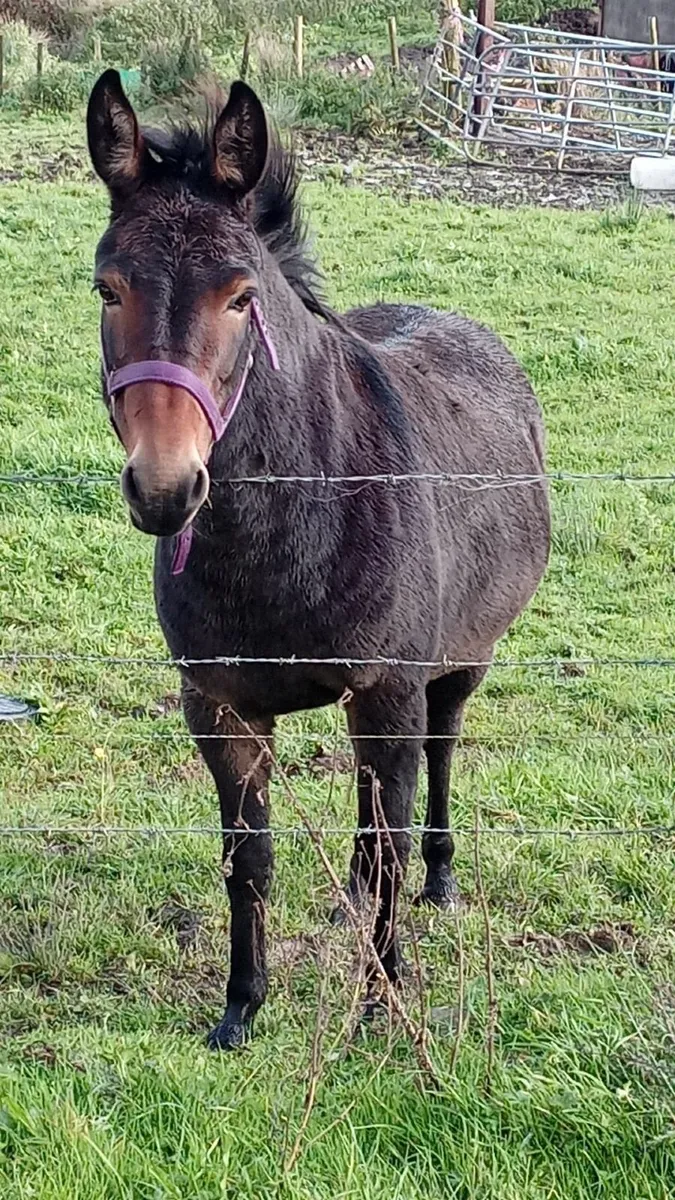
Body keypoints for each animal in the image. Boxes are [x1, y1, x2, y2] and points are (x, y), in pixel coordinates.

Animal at [86, 70, 550, 1050]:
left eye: (239, 296)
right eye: (107, 288)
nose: (163, 488)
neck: (294, 527)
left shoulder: (387, 694)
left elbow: (386, 843)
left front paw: (380, 1004)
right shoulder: (219, 709)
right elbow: (249, 859)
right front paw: (240, 1008)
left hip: (459, 662)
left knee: (436, 764)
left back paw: (438, 886)